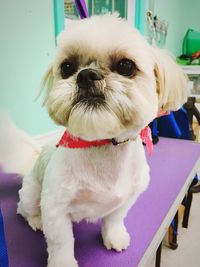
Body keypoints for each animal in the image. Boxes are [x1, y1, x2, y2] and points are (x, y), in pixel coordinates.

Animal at [0, 14, 187, 267]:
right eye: (67, 67)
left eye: (126, 66)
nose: (86, 75)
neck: (102, 145)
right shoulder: (55, 208)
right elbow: (61, 242)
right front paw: (63, 262)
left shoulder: (127, 198)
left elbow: (114, 219)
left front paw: (114, 236)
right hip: (32, 195)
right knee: (24, 209)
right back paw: (36, 220)